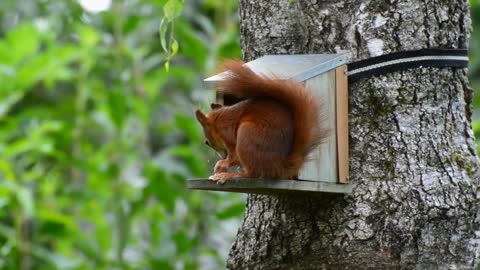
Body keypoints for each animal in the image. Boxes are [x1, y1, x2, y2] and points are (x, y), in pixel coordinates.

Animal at [195, 60, 326, 184]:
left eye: (207, 142)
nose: (222, 155)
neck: (220, 119)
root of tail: (279, 167)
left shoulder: (228, 135)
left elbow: (234, 156)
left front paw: (221, 164)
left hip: (247, 135)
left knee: (253, 174)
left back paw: (230, 175)